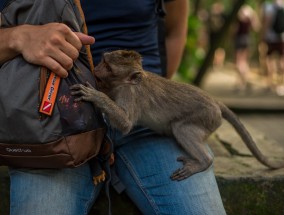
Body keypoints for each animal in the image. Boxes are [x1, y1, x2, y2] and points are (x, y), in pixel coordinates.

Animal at [70, 50, 284, 180]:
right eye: (102, 61)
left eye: (107, 66)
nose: (96, 69)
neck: (126, 83)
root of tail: (215, 102)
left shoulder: (129, 94)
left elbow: (125, 123)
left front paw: (95, 95)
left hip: (207, 117)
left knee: (181, 128)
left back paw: (204, 162)